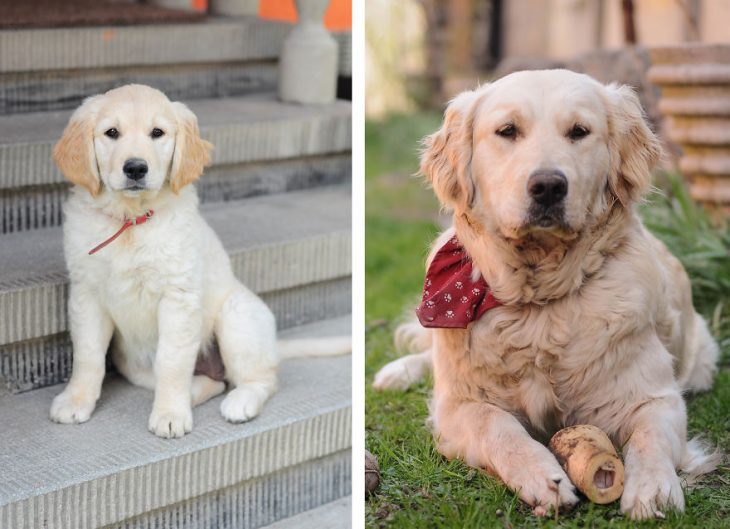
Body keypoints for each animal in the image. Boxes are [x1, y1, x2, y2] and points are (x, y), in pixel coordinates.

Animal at [49, 83, 350, 438]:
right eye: (112, 133)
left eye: (157, 133)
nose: (135, 168)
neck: (132, 220)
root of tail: (274, 346)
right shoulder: (86, 293)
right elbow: (88, 355)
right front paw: (76, 400)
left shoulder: (177, 298)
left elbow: (172, 361)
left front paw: (170, 414)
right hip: (130, 360)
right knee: (208, 381)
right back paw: (197, 391)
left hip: (237, 317)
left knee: (260, 379)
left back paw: (238, 401)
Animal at [376, 68, 716, 516]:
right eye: (507, 131)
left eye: (579, 132)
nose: (549, 186)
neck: (537, 306)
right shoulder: (458, 406)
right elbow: (497, 426)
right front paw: (541, 475)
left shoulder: (656, 398)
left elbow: (650, 437)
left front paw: (654, 488)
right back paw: (395, 372)